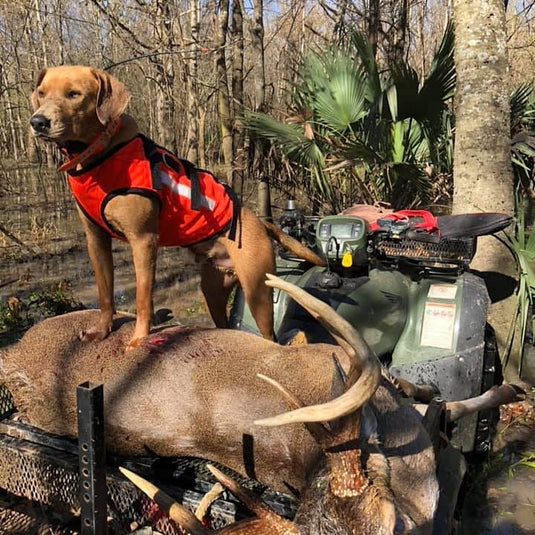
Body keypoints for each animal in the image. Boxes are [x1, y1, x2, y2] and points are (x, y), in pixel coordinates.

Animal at [31, 67, 324, 350]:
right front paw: (102, 331)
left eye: (74, 94)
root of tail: (260, 222)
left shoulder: (143, 241)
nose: (37, 122)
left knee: (269, 337)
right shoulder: (96, 240)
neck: (99, 154)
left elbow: (142, 299)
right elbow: (105, 296)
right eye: (41, 93)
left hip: (258, 292)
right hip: (213, 291)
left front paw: (138, 340)